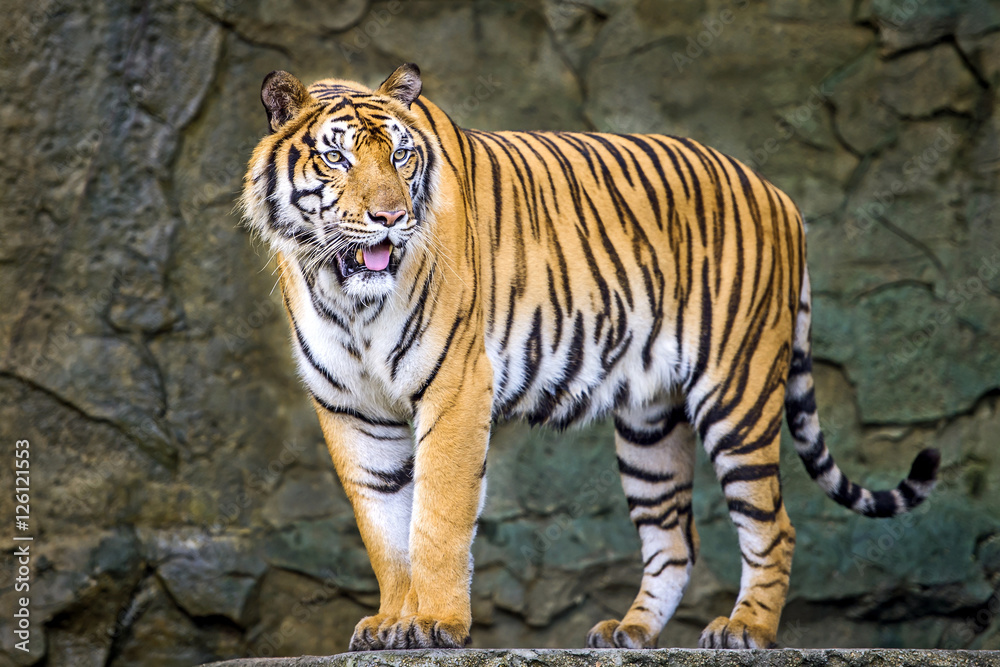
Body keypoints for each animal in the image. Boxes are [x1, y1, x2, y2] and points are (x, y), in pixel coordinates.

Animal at [240, 63, 940, 651]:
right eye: (336, 157)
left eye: (401, 154)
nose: (391, 217)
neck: (346, 296)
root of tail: (778, 194)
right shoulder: (351, 409)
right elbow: (383, 529)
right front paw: (390, 623)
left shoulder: (455, 389)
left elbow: (436, 519)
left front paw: (436, 624)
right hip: (651, 423)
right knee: (673, 540)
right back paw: (629, 632)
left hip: (735, 395)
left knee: (773, 526)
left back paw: (744, 631)